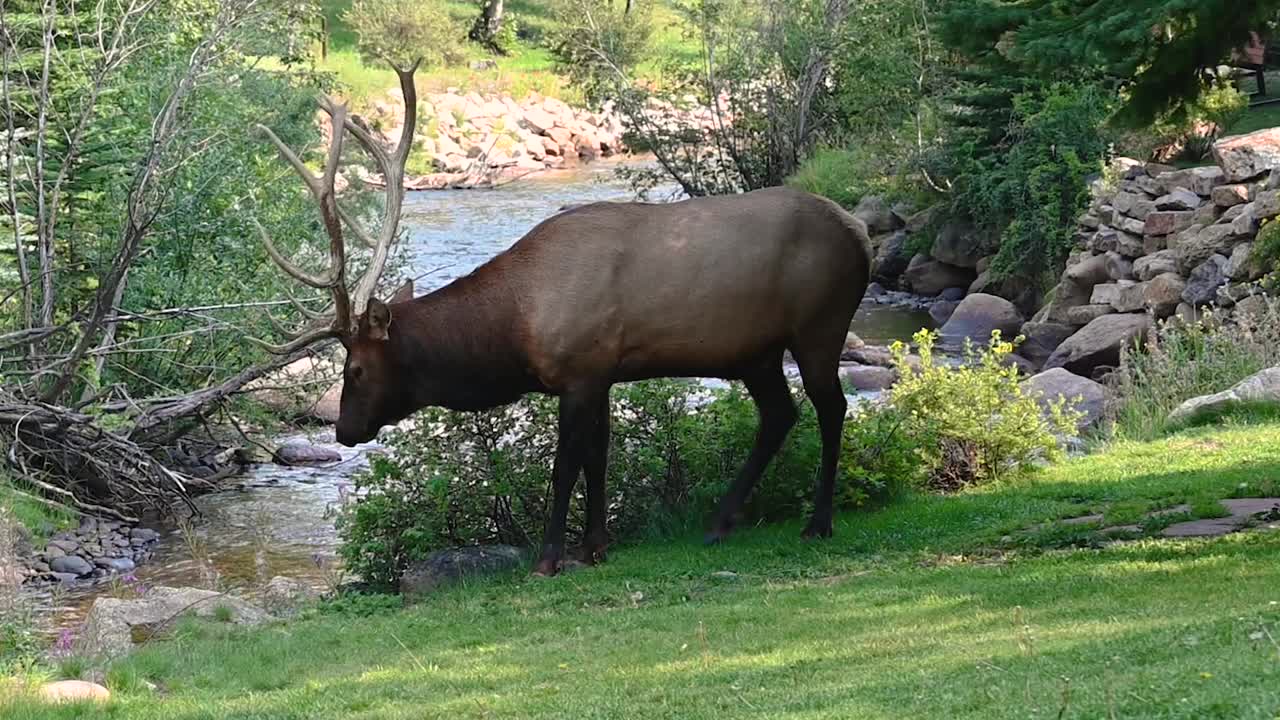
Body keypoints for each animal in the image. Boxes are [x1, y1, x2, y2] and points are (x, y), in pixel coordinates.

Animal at [252, 64, 870, 573]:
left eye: (354, 369)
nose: (344, 430)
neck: (514, 328)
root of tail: (860, 234)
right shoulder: (602, 373)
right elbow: (599, 459)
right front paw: (595, 545)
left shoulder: (579, 370)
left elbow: (565, 465)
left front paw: (550, 557)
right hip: (756, 351)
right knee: (780, 414)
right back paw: (720, 521)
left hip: (820, 324)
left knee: (830, 407)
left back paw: (818, 522)